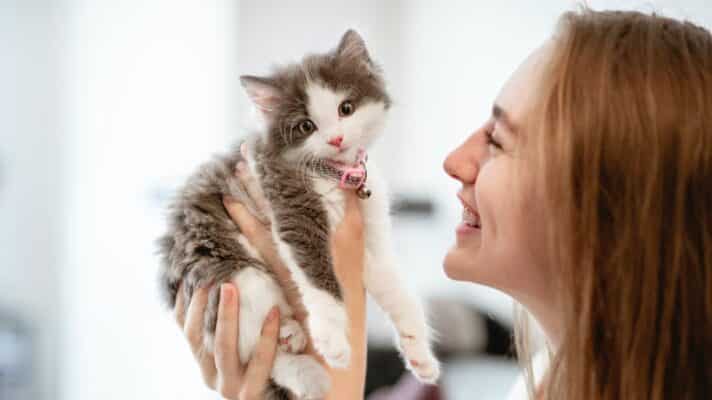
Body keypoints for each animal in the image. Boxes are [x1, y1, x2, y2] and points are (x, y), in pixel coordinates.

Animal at [159, 30, 440, 400]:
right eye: (307, 126)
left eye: (346, 108)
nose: (336, 138)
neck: (339, 175)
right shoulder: (289, 201)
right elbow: (319, 275)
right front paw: (333, 339)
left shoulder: (368, 234)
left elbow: (394, 287)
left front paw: (419, 351)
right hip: (231, 276)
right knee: (256, 356)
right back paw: (303, 367)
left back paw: (291, 336)